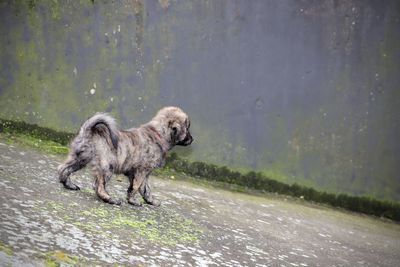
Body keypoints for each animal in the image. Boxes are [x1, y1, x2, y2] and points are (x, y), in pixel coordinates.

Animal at [57, 107, 193, 207]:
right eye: (187, 128)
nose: (192, 139)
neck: (157, 133)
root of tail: (90, 131)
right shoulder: (141, 171)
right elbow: (136, 187)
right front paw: (133, 201)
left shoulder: (141, 174)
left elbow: (145, 189)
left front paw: (150, 201)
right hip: (106, 167)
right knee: (98, 186)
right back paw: (110, 199)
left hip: (79, 159)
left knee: (63, 169)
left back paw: (69, 185)